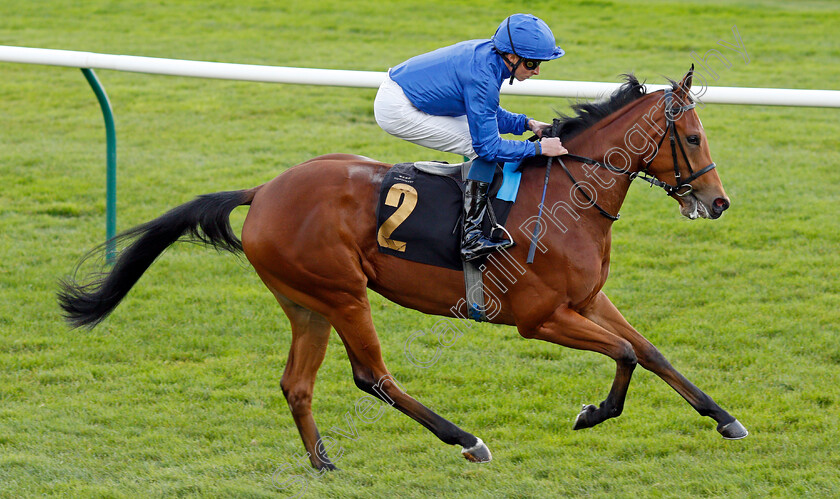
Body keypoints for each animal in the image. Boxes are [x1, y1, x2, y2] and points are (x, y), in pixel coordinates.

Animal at [62, 67, 752, 472]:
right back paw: (467, 440)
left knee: (296, 383)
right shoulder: (540, 318)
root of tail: (263, 191)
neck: (569, 192)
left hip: (306, 301)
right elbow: (627, 355)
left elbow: (652, 352)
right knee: (373, 376)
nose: (717, 202)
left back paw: (322, 463)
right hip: (343, 293)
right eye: (693, 138)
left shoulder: (587, 300)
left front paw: (725, 419)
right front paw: (592, 413)